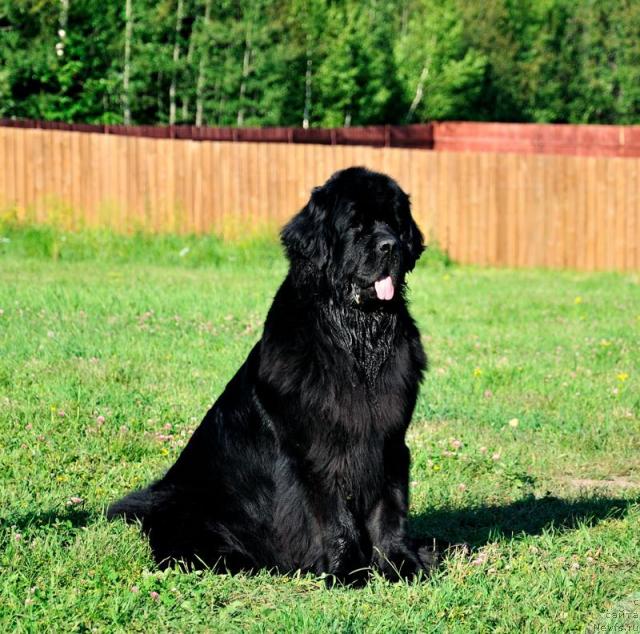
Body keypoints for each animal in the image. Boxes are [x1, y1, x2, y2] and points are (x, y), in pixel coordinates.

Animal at [107, 165, 432, 580]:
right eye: (355, 224)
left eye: (394, 221)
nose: (390, 245)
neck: (356, 340)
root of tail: (154, 498)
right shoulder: (316, 450)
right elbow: (334, 515)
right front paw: (345, 571)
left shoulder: (388, 439)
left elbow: (390, 508)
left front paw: (402, 563)